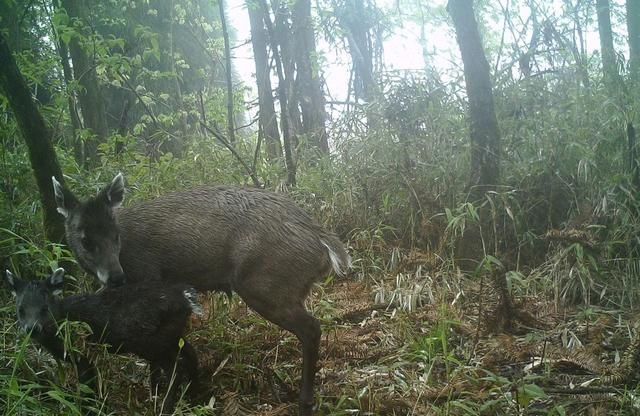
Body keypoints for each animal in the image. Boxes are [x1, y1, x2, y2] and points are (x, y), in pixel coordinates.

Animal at [5, 266, 199, 412]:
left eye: (45, 308)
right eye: (20, 309)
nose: (32, 328)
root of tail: (187, 298)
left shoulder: (83, 354)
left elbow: (88, 385)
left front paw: (91, 408)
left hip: (156, 342)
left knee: (175, 369)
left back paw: (166, 406)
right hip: (172, 336)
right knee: (190, 355)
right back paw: (192, 396)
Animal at [52, 173, 350, 416]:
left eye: (115, 235)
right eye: (85, 239)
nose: (115, 278)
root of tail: (324, 242)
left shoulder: (150, 278)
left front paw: (161, 396)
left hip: (265, 285)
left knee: (311, 328)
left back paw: (305, 401)